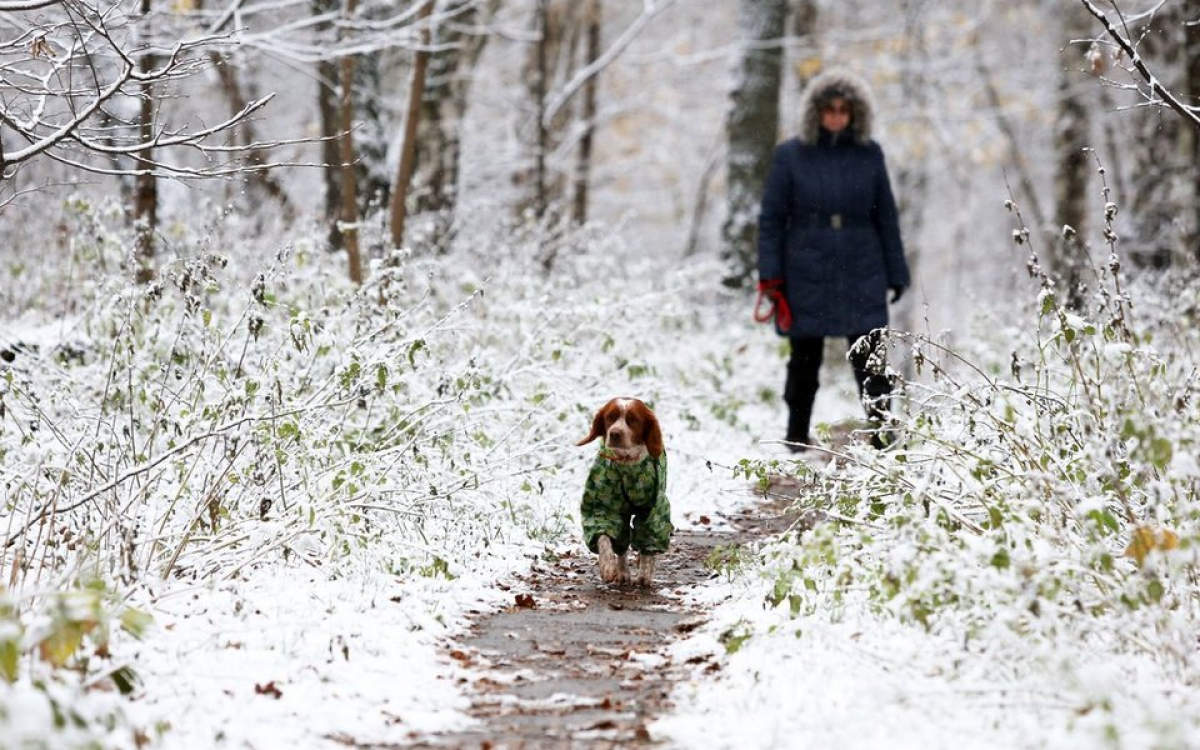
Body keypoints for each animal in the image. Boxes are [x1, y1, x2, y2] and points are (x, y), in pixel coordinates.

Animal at [573, 398, 672, 585]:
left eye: (633, 420)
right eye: (610, 417)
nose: (615, 433)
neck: (627, 464)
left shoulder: (652, 509)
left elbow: (648, 543)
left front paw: (644, 575)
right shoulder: (604, 505)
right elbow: (605, 539)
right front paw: (608, 568)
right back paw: (623, 573)